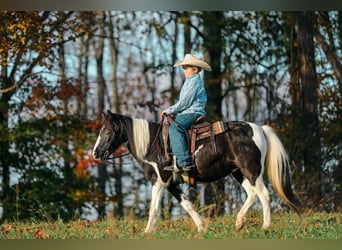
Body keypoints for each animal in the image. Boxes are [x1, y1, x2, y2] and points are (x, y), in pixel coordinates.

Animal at [93, 110, 300, 233]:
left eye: (107, 131)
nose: (95, 153)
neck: (153, 144)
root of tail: (259, 129)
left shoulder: (159, 181)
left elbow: (154, 208)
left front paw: (147, 232)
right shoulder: (172, 184)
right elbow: (187, 205)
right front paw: (201, 227)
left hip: (251, 170)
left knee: (264, 194)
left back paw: (265, 226)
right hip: (239, 172)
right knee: (252, 193)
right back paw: (239, 222)